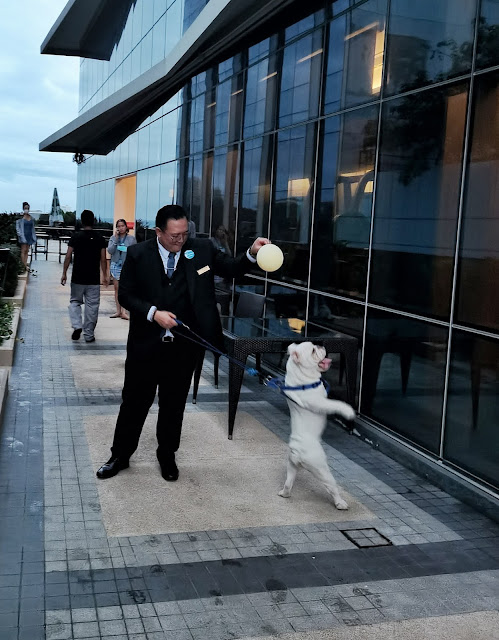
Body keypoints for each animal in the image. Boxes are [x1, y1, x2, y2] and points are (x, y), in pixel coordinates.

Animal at [278, 342, 356, 510]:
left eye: (315, 345)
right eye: (313, 351)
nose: (321, 345)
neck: (302, 381)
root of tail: (298, 451)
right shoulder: (320, 402)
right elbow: (335, 404)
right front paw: (348, 410)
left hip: (291, 465)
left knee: (288, 482)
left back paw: (284, 493)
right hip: (321, 468)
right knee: (332, 487)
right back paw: (340, 503)